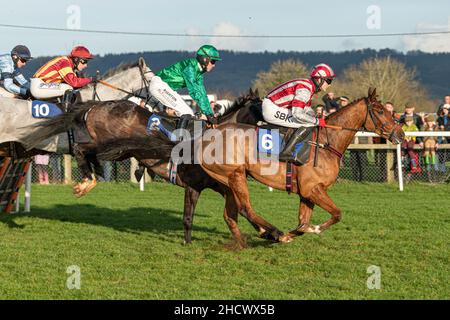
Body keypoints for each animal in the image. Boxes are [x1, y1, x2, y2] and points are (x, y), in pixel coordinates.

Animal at [197, 89, 404, 246]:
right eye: (379, 111)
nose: (401, 134)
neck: (327, 143)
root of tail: (205, 137)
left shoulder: (307, 192)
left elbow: (303, 223)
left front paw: (294, 233)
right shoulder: (312, 188)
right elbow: (336, 214)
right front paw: (312, 229)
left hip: (227, 182)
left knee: (231, 214)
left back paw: (254, 238)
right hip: (236, 174)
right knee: (245, 208)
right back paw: (274, 232)